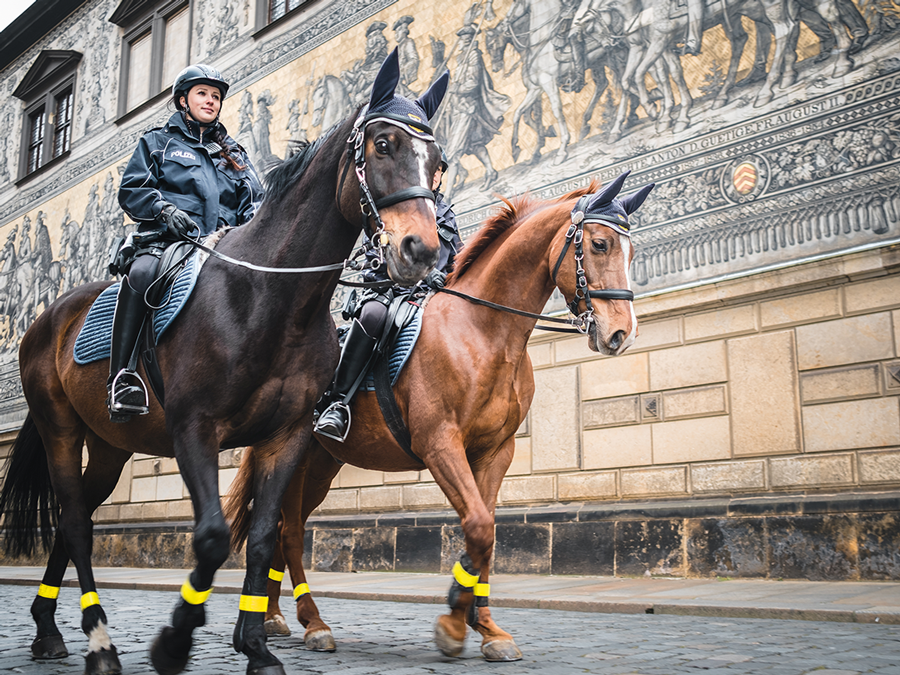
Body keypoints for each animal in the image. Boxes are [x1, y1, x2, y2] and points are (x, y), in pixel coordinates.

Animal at [0, 51, 450, 675]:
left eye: (439, 163)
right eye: (383, 144)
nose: (422, 252)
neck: (271, 298)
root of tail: (49, 318)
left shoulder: (287, 436)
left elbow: (261, 539)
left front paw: (257, 646)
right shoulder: (195, 428)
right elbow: (213, 536)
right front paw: (175, 641)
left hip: (111, 446)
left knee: (76, 523)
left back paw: (48, 628)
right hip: (60, 429)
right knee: (73, 523)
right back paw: (99, 641)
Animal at [225, 172, 652, 664]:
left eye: (632, 252)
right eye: (600, 244)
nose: (621, 333)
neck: (484, 332)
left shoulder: (495, 453)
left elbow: (485, 535)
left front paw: (485, 628)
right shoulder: (439, 445)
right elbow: (479, 528)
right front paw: (452, 622)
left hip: (321, 465)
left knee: (279, 530)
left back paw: (274, 618)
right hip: (294, 456)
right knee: (290, 533)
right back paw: (311, 622)